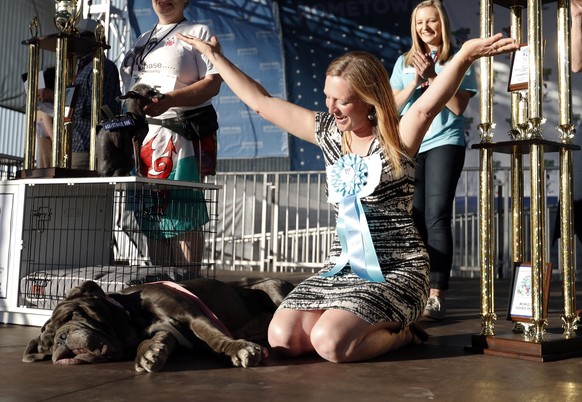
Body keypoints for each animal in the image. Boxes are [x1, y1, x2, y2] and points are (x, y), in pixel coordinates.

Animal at [22, 278, 296, 372]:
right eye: (48, 346)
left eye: (71, 316)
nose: (61, 338)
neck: (131, 315)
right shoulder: (166, 332)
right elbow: (155, 339)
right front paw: (151, 353)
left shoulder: (192, 317)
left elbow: (213, 336)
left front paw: (238, 349)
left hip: (273, 289)